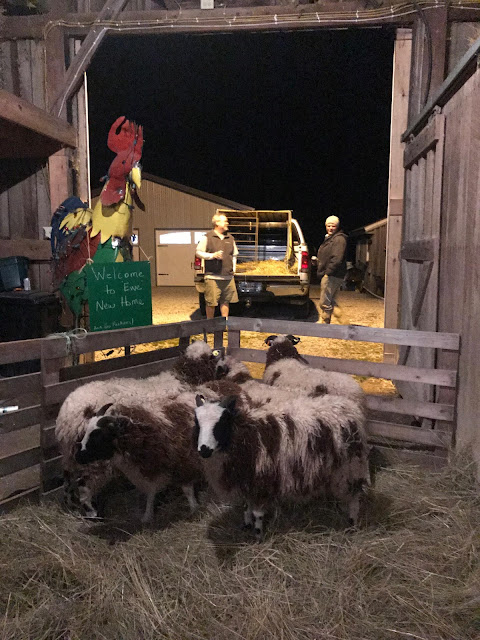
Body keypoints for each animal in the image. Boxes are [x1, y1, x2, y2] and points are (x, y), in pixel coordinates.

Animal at [56, 340, 225, 517]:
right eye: (213, 357)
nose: (224, 369)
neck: (183, 378)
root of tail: (67, 415)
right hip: (94, 459)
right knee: (85, 486)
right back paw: (92, 513)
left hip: (70, 456)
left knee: (68, 481)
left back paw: (71, 505)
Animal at [194, 389, 370, 540]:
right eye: (197, 423)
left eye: (222, 421)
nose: (204, 450)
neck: (246, 435)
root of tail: (351, 408)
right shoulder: (247, 481)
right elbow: (246, 506)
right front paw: (246, 525)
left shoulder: (261, 481)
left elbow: (257, 513)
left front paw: (258, 535)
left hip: (350, 467)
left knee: (355, 498)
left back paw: (352, 524)